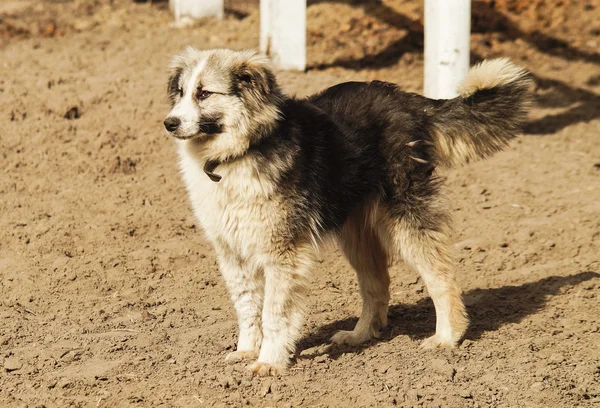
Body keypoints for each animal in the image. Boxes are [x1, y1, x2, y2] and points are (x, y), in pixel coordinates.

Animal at [162, 49, 532, 378]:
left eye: (204, 93)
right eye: (180, 93)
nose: (169, 123)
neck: (238, 153)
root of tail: (407, 100)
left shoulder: (283, 253)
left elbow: (274, 312)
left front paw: (269, 362)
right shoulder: (232, 252)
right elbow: (247, 307)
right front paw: (247, 351)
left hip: (405, 219)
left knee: (441, 276)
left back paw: (447, 337)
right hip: (356, 233)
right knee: (377, 284)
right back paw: (360, 335)